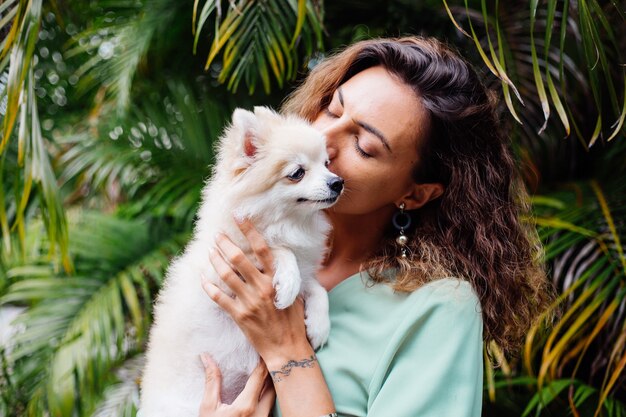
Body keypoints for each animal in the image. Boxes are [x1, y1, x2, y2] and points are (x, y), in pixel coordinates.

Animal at [139, 105, 342, 414]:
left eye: (327, 163)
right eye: (297, 173)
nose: (338, 182)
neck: (286, 223)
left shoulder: (305, 270)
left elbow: (318, 288)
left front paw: (319, 325)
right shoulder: (220, 271)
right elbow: (279, 251)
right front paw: (288, 283)